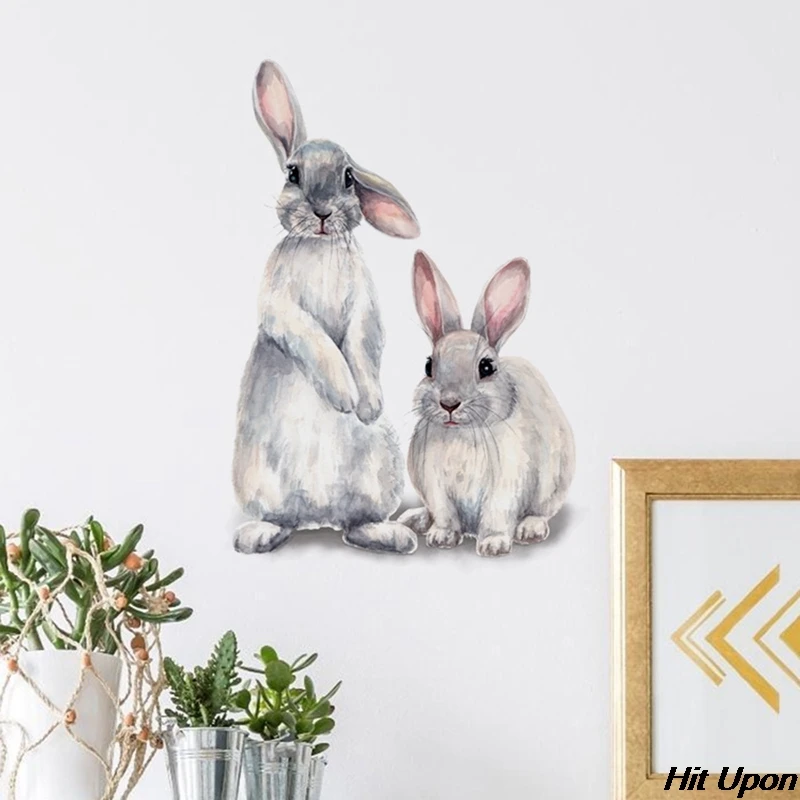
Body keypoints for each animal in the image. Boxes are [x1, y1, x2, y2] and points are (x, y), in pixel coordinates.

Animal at [233, 60, 421, 555]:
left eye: (349, 177)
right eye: (292, 174)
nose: (321, 212)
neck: (319, 247)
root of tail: (317, 518)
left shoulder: (364, 308)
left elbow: (360, 343)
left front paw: (366, 405)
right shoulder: (282, 306)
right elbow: (315, 340)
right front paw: (343, 397)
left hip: (379, 476)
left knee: (355, 525)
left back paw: (393, 536)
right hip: (259, 480)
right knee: (282, 518)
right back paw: (257, 536)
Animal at [399, 251, 575, 557]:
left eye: (486, 367)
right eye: (428, 366)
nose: (449, 403)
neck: (462, 433)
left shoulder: (507, 485)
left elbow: (497, 515)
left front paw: (493, 545)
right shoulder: (435, 485)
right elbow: (445, 514)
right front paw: (442, 537)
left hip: (554, 483)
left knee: (541, 511)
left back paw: (531, 529)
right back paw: (414, 519)